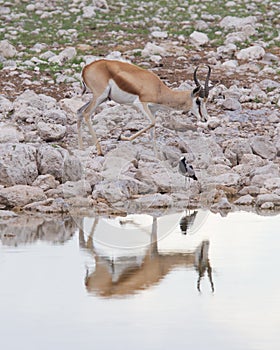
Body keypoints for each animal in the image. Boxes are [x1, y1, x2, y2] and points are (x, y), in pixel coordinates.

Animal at [77, 59, 211, 155]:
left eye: (206, 101)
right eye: (198, 101)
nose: (205, 119)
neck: (159, 89)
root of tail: (86, 68)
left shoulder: (153, 110)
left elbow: (153, 132)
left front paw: (158, 159)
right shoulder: (141, 103)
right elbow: (152, 122)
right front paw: (121, 137)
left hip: (101, 98)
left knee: (79, 111)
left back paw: (82, 149)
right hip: (100, 96)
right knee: (86, 114)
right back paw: (99, 151)